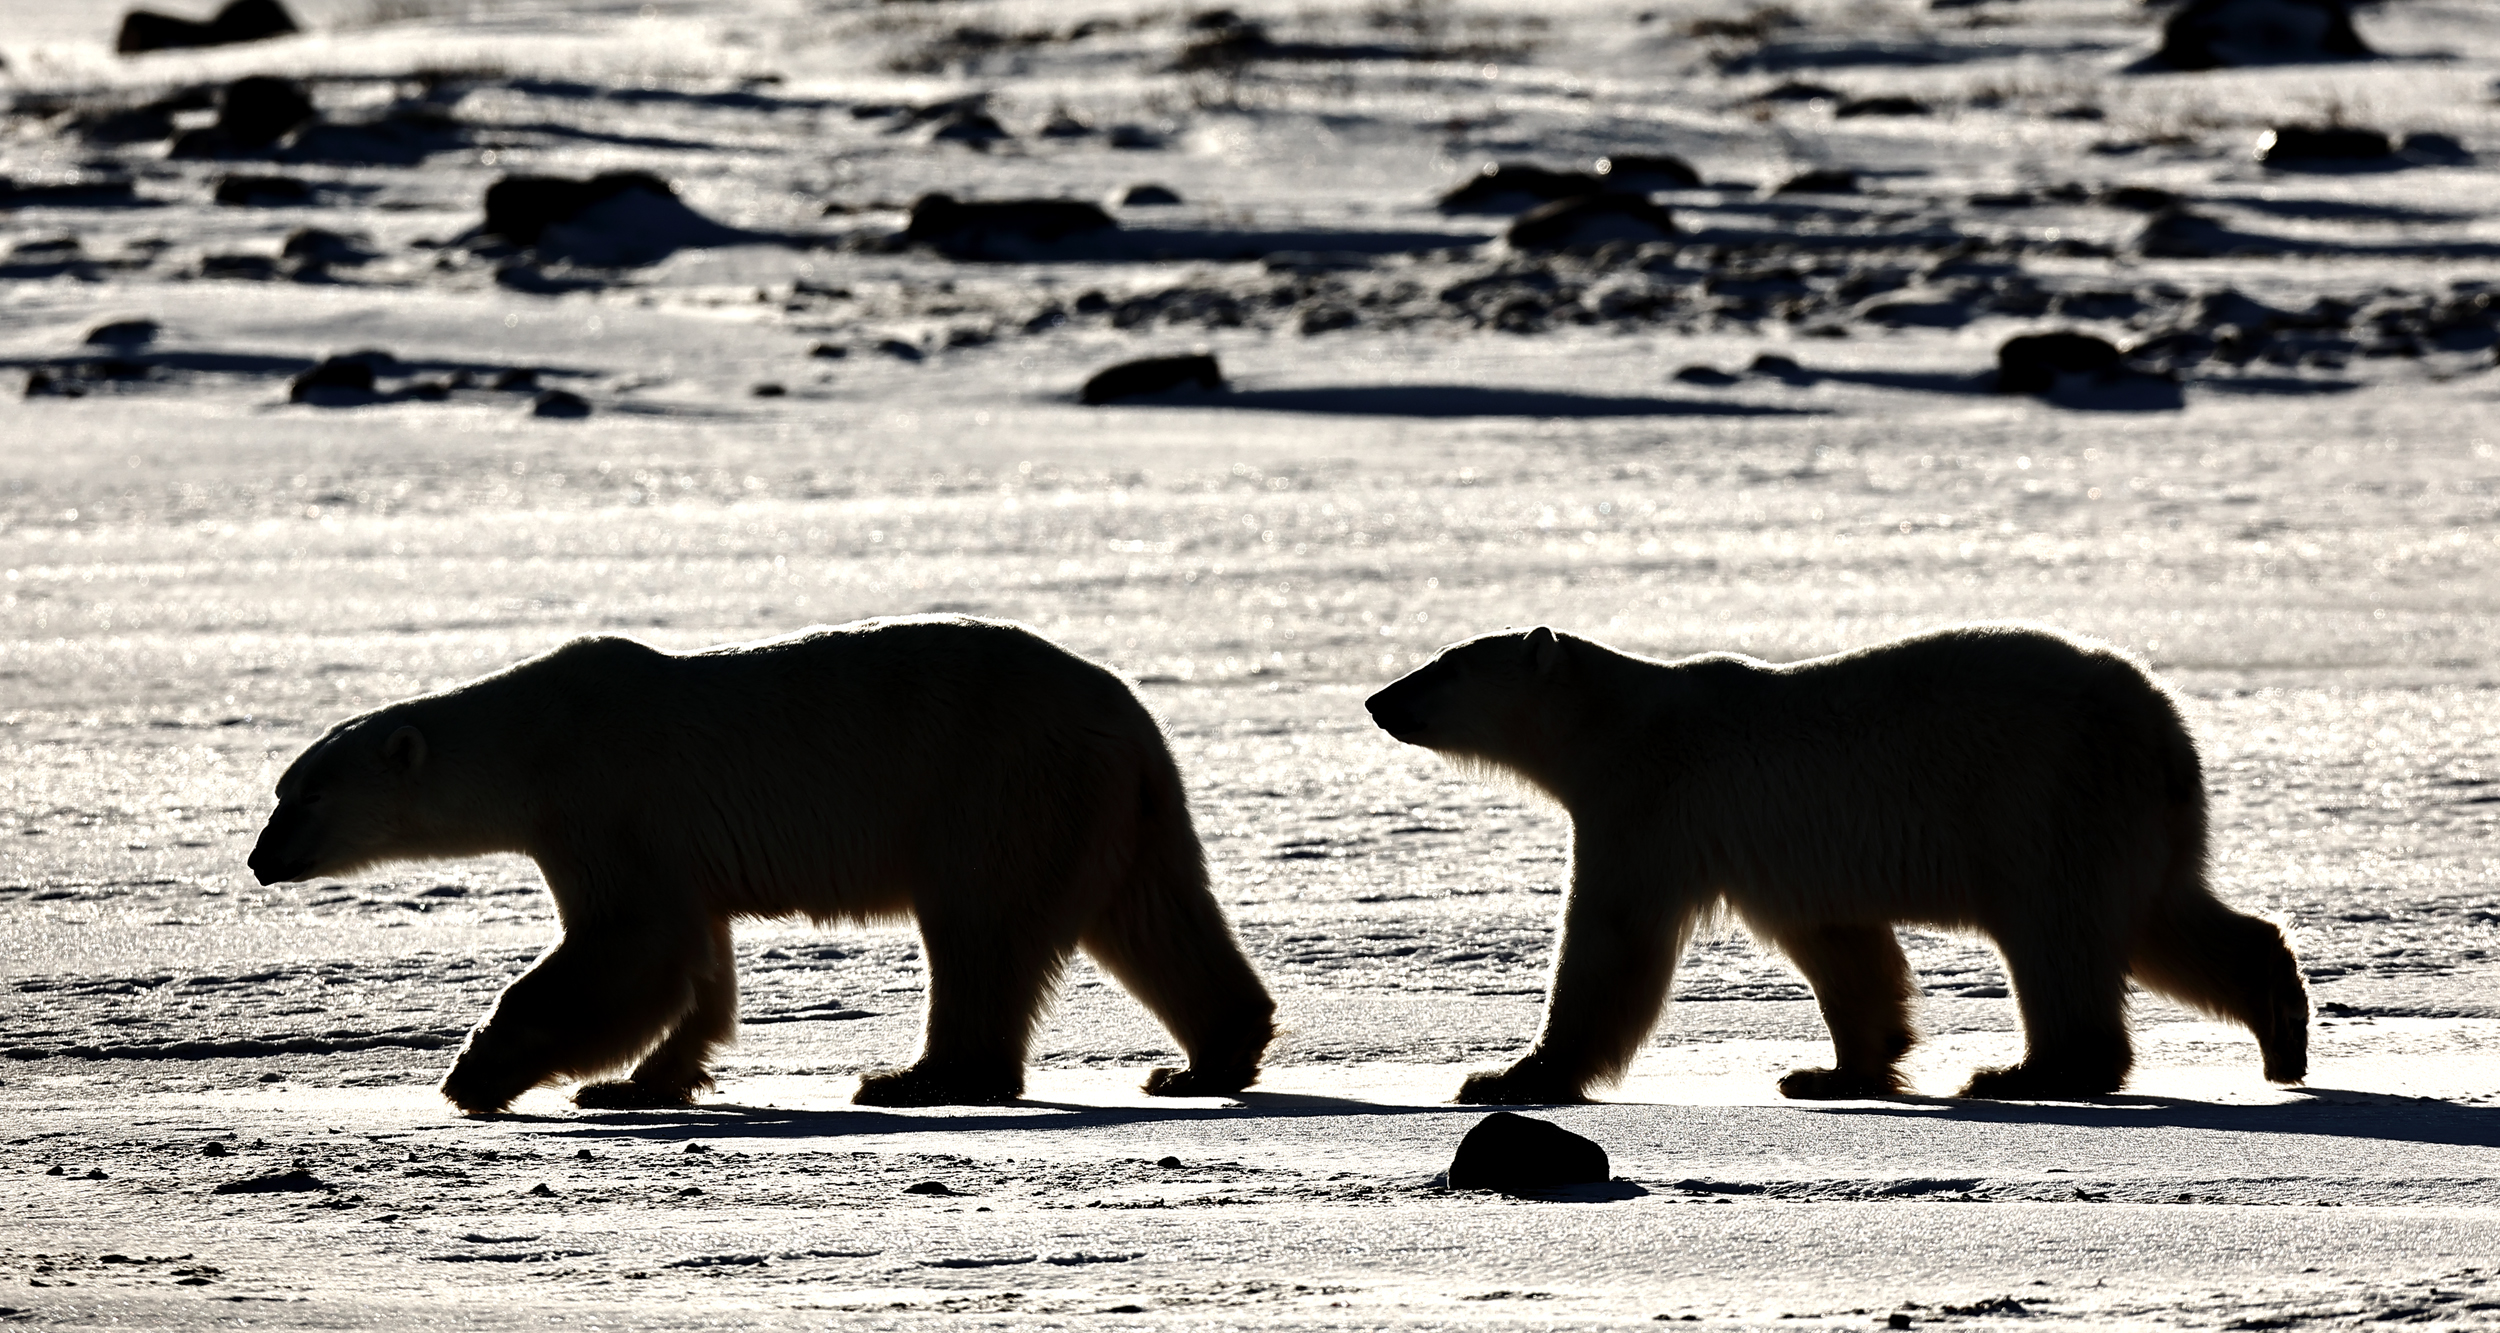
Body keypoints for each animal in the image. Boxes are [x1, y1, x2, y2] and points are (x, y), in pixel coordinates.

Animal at [246, 612, 1280, 1110]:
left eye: (303, 795)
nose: (260, 859)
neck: (533, 738)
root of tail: (1130, 719)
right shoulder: (662, 843)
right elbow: (696, 960)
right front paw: (640, 1082)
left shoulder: (603, 802)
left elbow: (626, 944)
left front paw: (480, 1069)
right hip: (1117, 805)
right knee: (1154, 912)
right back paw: (1205, 1059)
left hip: (999, 782)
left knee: (980, 928)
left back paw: (917, 1077)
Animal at [1370, 622, 2300, 1100]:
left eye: (1442, 664)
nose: (1379, 699)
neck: (1618, 721)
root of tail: (2165, 729)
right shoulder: (1784, 857)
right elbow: (1843, 950)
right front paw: (1833, 1069)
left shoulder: (1649, 806)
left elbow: (1611, 938)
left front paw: (1509, 1073)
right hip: (2135, 823)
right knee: (2164, 920)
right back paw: (2281, 1023)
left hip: (2046, 800)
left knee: (2058, 932)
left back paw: (2029, 1069)